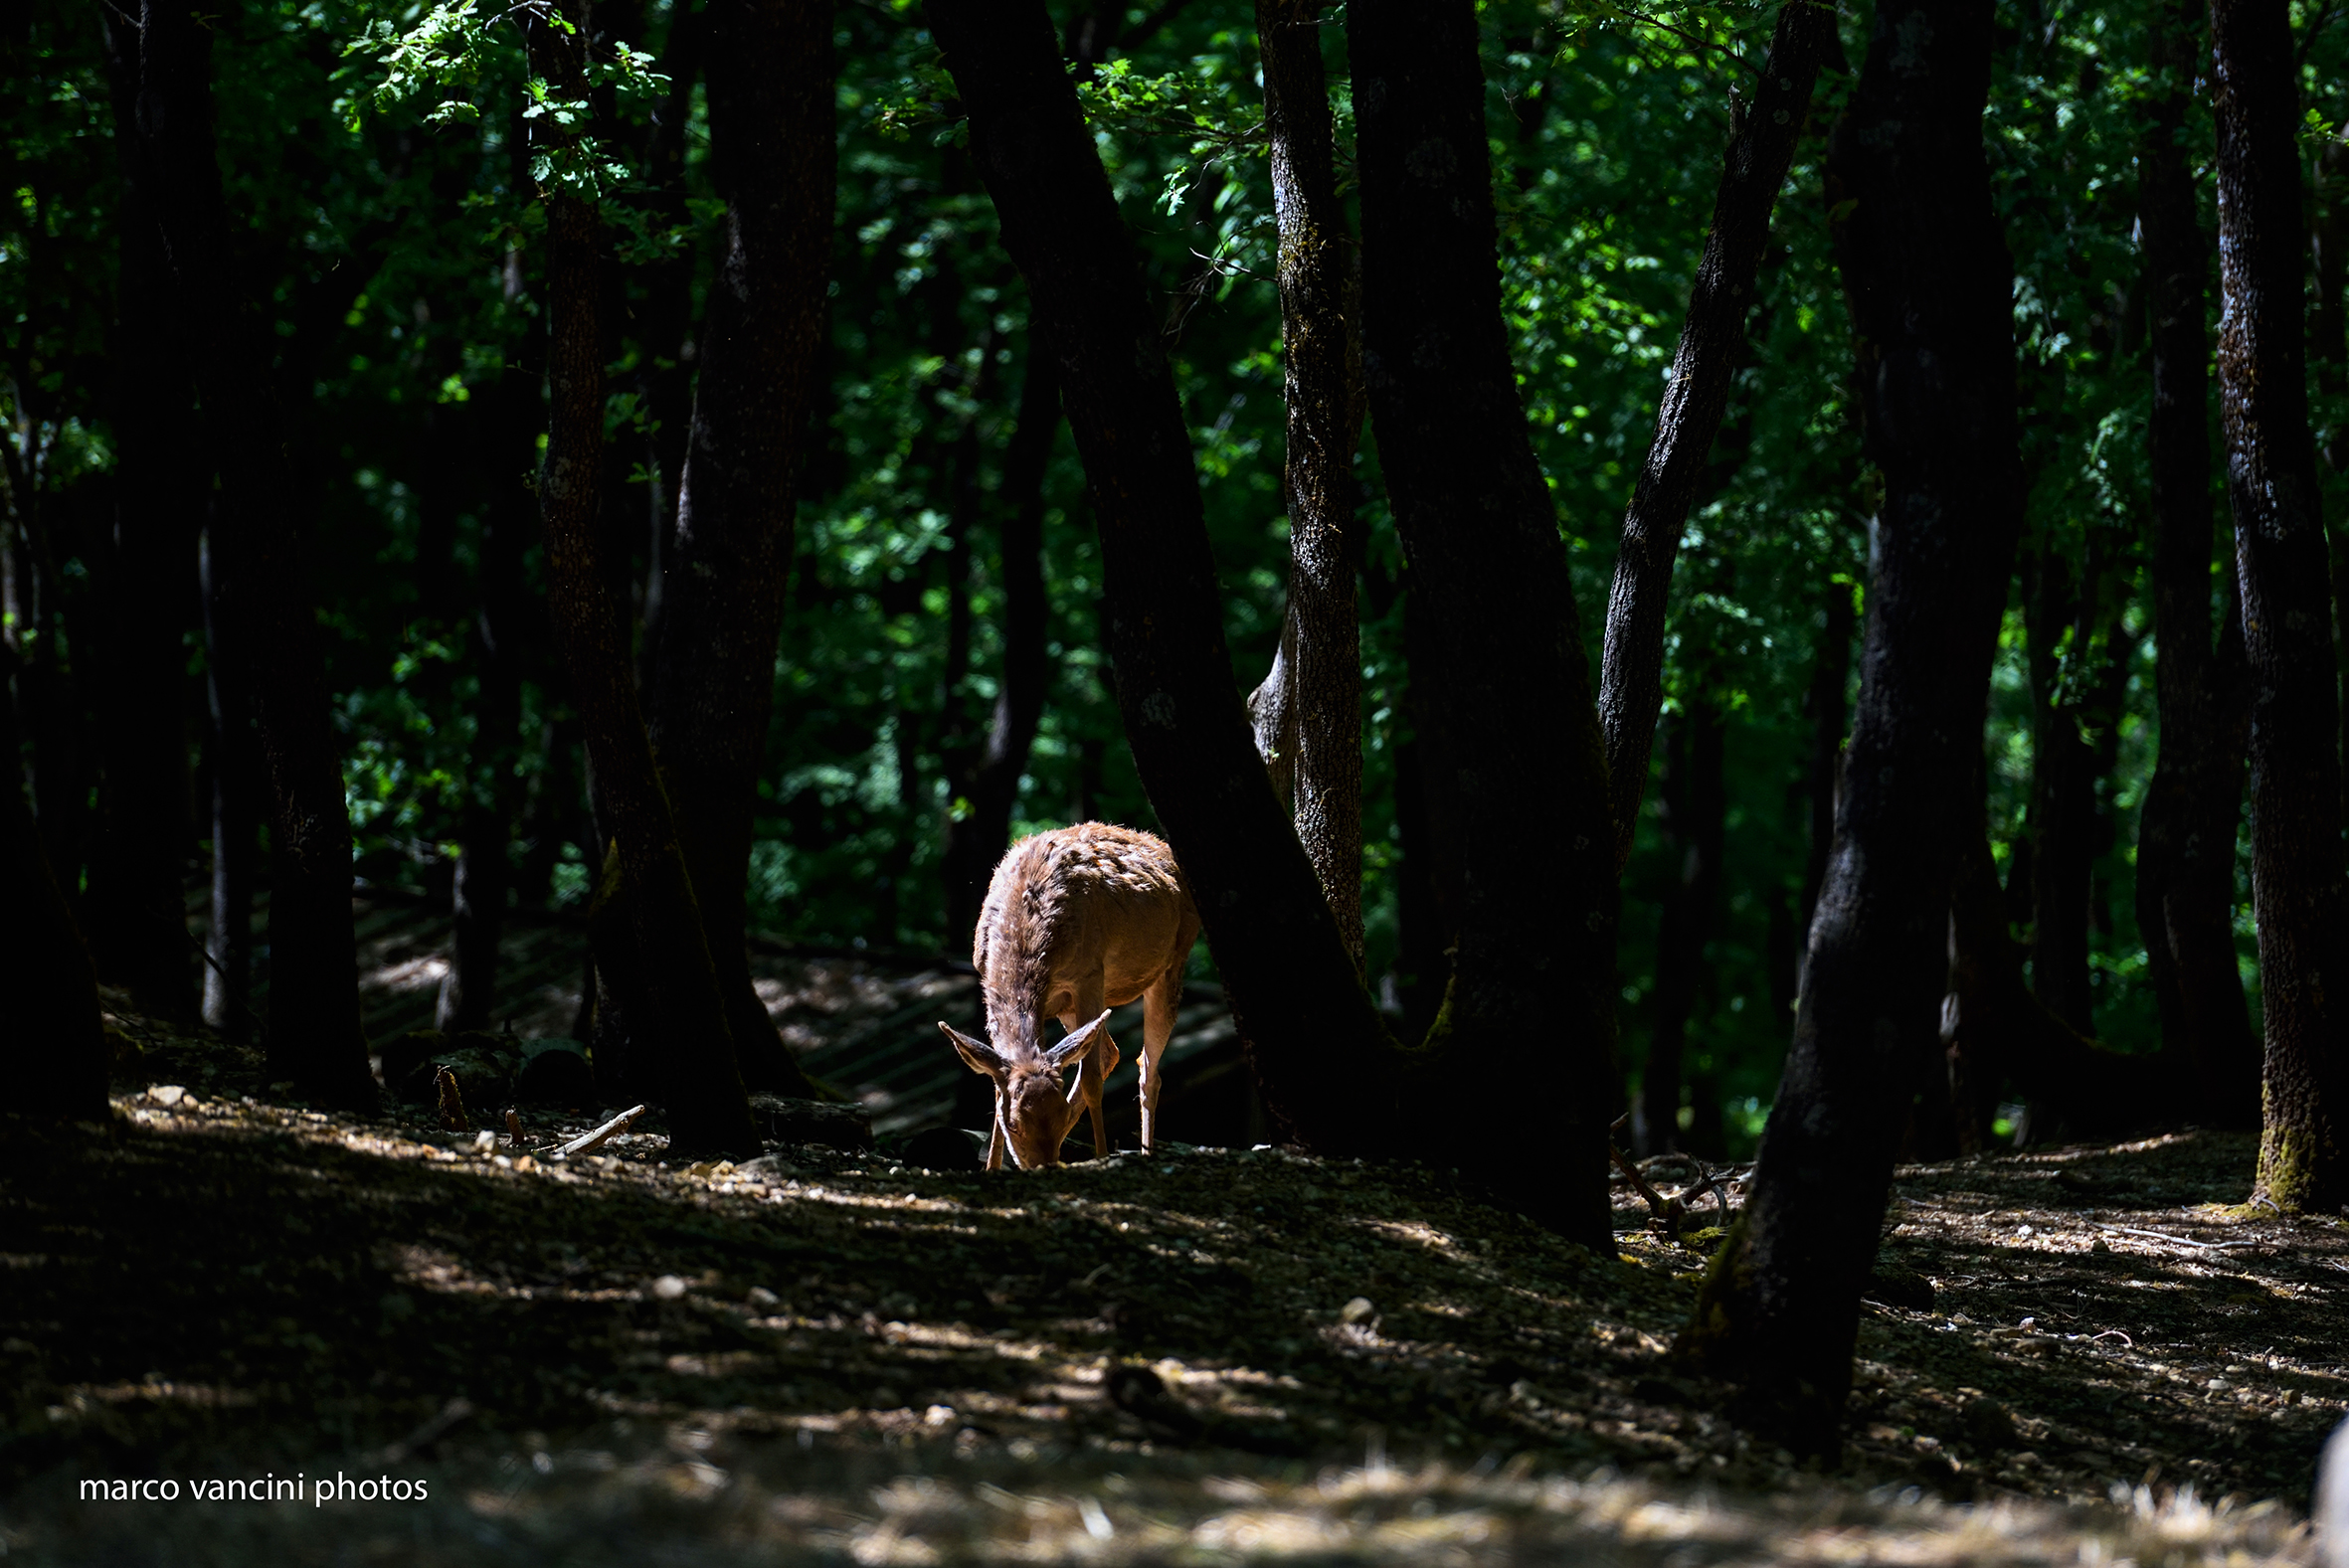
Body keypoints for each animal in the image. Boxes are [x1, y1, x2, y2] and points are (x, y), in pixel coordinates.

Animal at [938, 822, 1202, 1170]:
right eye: (1013, 1124)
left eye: (1061, 1116)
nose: (1045, 1165)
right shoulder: (985, 974)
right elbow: (996, 1086)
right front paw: (991, 1168)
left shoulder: (1089, 973)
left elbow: (1091, 1079)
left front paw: (1102, 1156)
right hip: (1066, 1005)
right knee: (1111, 1053)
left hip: (1173, 960)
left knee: (1147, 1070)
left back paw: (1146, 1151)